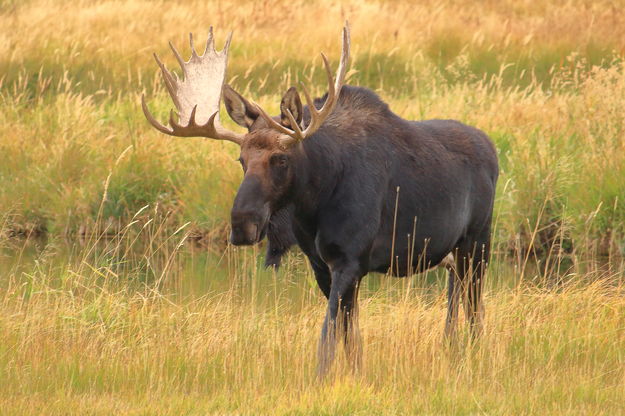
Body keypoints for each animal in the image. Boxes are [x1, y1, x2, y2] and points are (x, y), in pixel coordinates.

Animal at [140, 26, 498, 376]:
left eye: (281, 158)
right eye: (241, 159)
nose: (242, 224)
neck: (317, 201)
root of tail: (492, 149)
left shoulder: (349, 261)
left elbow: (328, 336)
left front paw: (321, 379)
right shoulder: (320, 264)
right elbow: (350, 337)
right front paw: (356, 376)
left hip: (477, 245)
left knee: (475, 313)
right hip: (452, 256)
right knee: (455, 306)